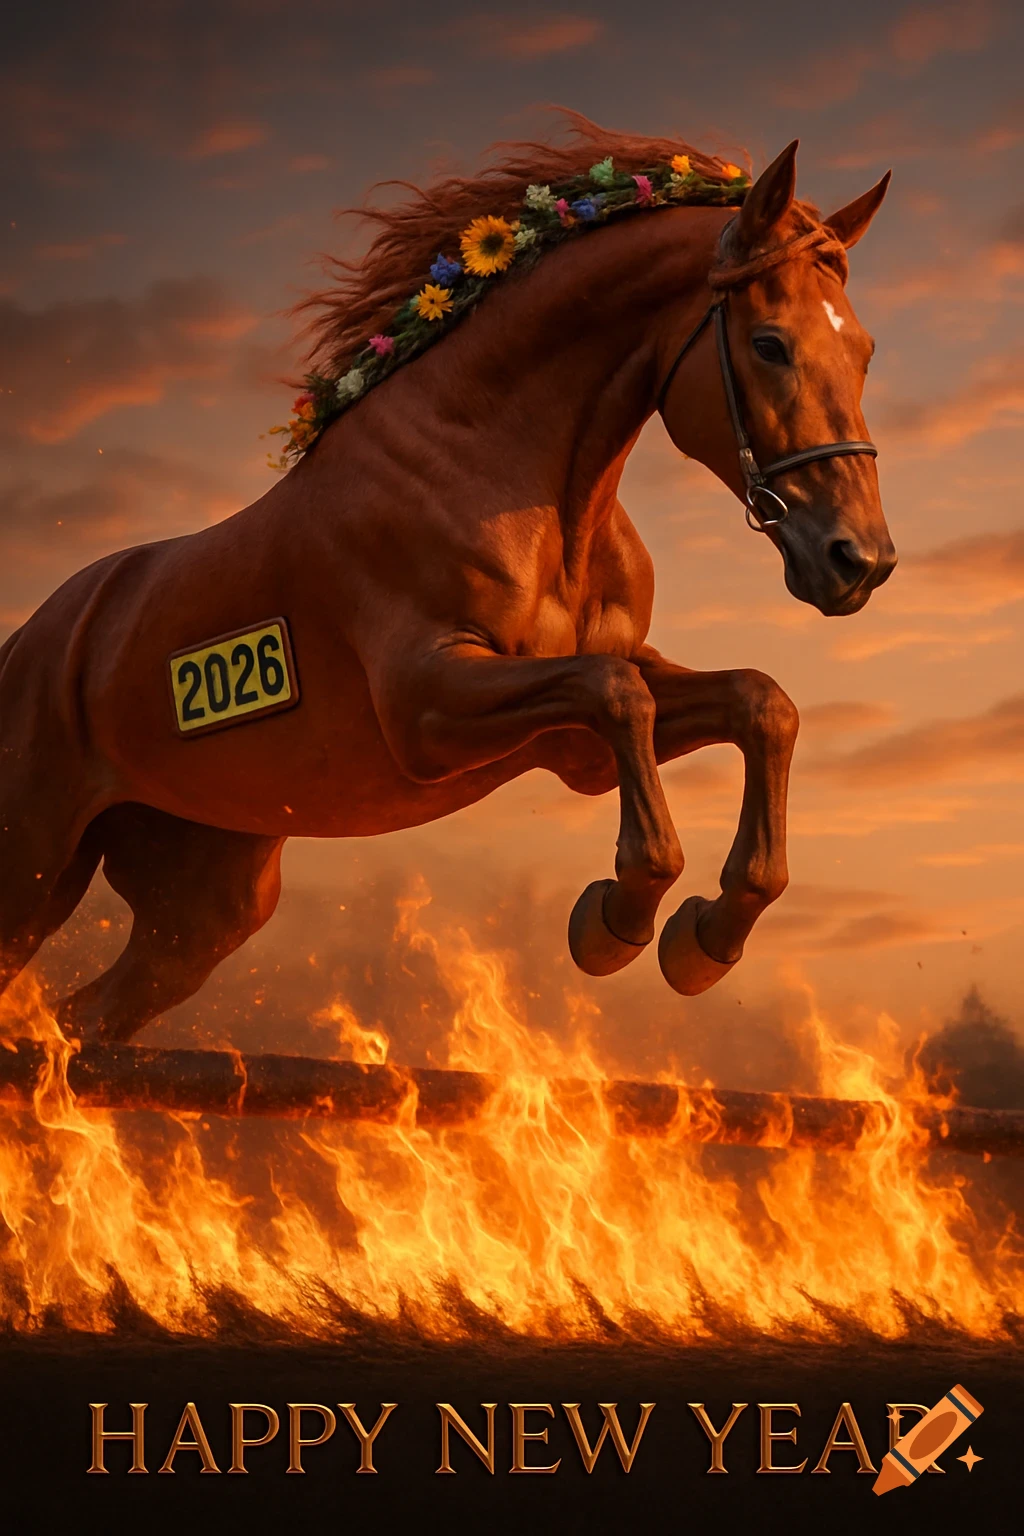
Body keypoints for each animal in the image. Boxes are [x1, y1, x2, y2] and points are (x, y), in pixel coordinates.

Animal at [0, 116, 895, 1042]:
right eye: (769, 344)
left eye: (863, 351)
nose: (859, 560)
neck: (524, 482)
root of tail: (27, 641)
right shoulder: (430, 707)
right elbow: (619, 696)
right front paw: (614, 920)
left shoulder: (578, 741)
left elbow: (761, 702)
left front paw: (705, 936)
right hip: (30, 868)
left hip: (200, 906)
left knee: (84, 1018)